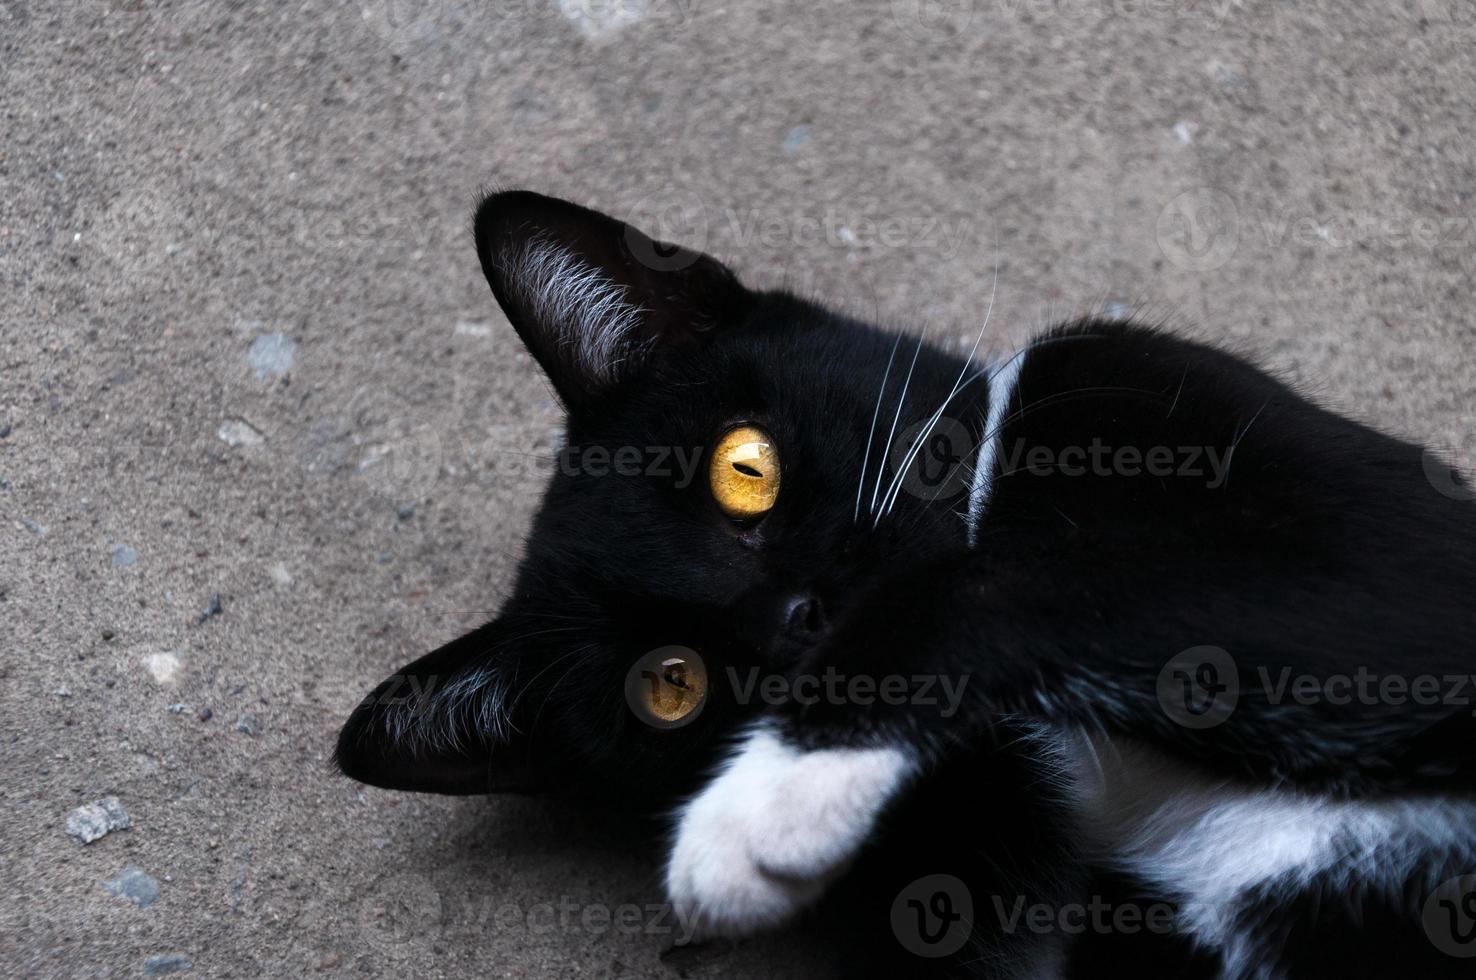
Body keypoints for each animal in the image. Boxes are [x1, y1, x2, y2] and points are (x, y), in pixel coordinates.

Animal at [335, 187, 1476, 974]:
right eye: (670, 685)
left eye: (744, 468)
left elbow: (995, 587)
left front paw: (761, 816)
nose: (796, 618)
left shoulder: (1371, 573)